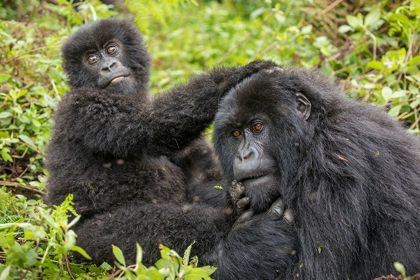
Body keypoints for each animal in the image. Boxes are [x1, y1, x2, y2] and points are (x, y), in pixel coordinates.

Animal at [45, 18, 278, 264]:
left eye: (111, 49)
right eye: (91, 59)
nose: (107, 67)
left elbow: (201, 180)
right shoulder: (83, 106)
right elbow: (153, 124)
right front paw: (237, 75)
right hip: (81, 244)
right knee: (150, 228)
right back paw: (231, 216)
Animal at [213, 68, 420, 280]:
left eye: (257, 127)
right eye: (236, 134)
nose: (244, 155)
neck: (312, 134)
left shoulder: (333, 163)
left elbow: (316, 270)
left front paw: (253, 242)